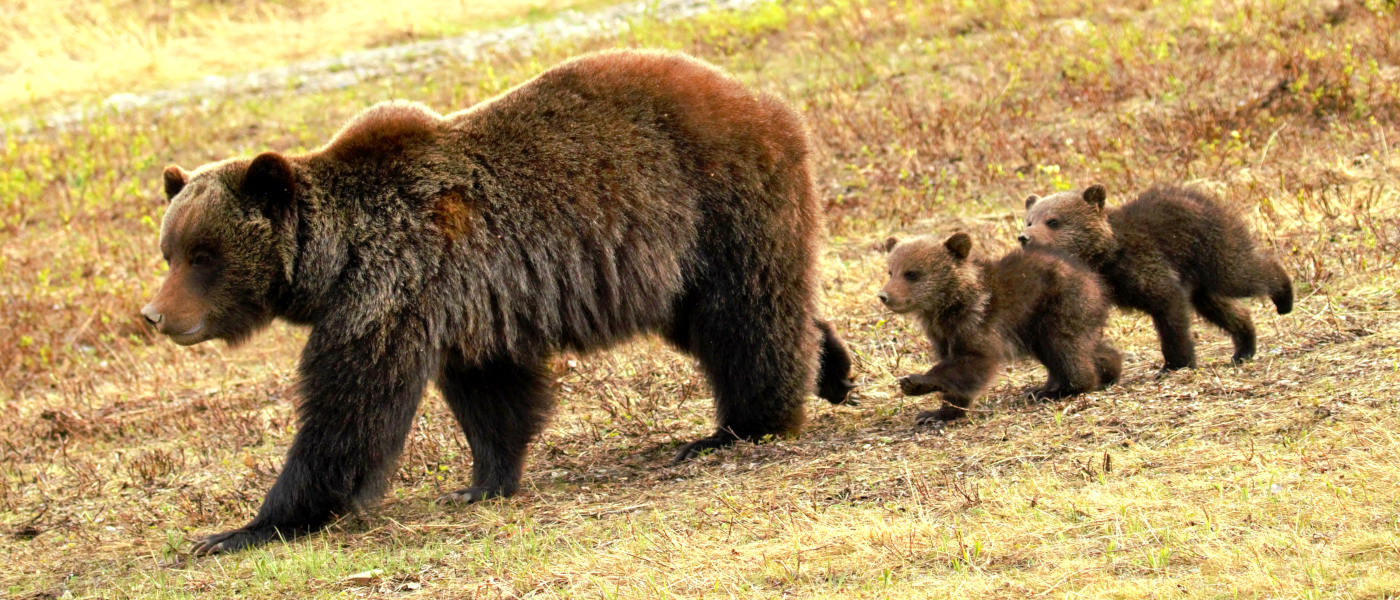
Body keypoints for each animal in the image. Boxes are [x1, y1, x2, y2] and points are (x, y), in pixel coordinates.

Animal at [147, 48, 856, 553]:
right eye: (169, 251)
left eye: (203, 255)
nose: (156, 315)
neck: (338, 259)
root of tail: (765, 101)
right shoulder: (461, 304)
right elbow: (493, 395)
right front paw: (482, 482)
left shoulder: (393, 288)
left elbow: (350, 411)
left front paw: (244, 528)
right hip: (678, 264)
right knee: (730, 316)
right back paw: (833, 370)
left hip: (712, 202)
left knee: (744, 317)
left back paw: (740, 427)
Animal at [879, 232, 1120, 422]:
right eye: (890, 271)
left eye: (912, 273)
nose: (884, 295)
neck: (949, 305)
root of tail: (1095, 279)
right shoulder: (943, 335)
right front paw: (936, 412)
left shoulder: (977, 322)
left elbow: (972, 362)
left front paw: (916, 383)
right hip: (1035, 325)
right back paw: (1105, 370)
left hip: (1058, 306)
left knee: (1065, 347)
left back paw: (1059, 390)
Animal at [1019, 183, 1288, 369]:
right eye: (1030, 220)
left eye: (1053, 221)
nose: (1024, 237)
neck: (1104, 258)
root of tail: (1205, 198)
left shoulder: (1144, 264)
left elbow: (1168, 307)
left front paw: (1176, 362)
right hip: (1198, 277)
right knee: (1219, 306)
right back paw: (1243, 347)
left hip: (1211, 248)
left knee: (1239, 274)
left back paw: (1284, 295)